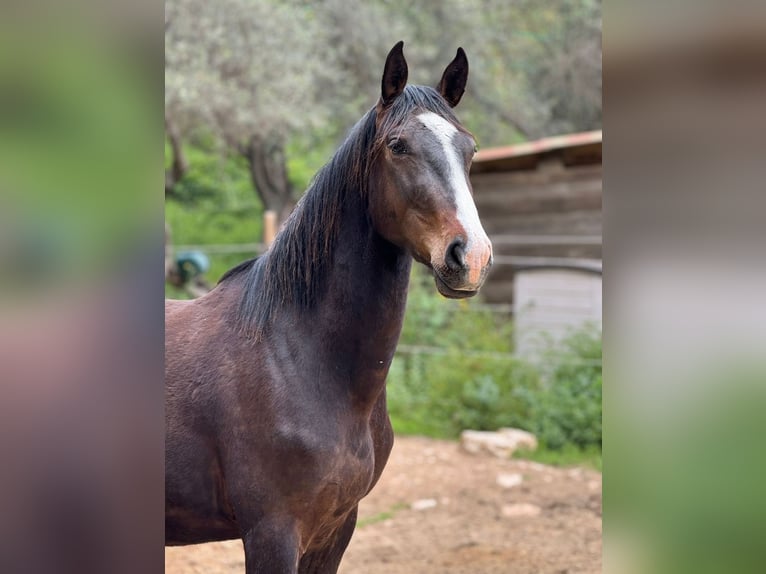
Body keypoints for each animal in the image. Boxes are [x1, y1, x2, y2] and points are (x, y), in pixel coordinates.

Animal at [165, 44, 496, 574]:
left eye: (470, 149)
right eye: (398, 146)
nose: (472, 257)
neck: (296, 358)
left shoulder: (335, 530)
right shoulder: (273, 534)